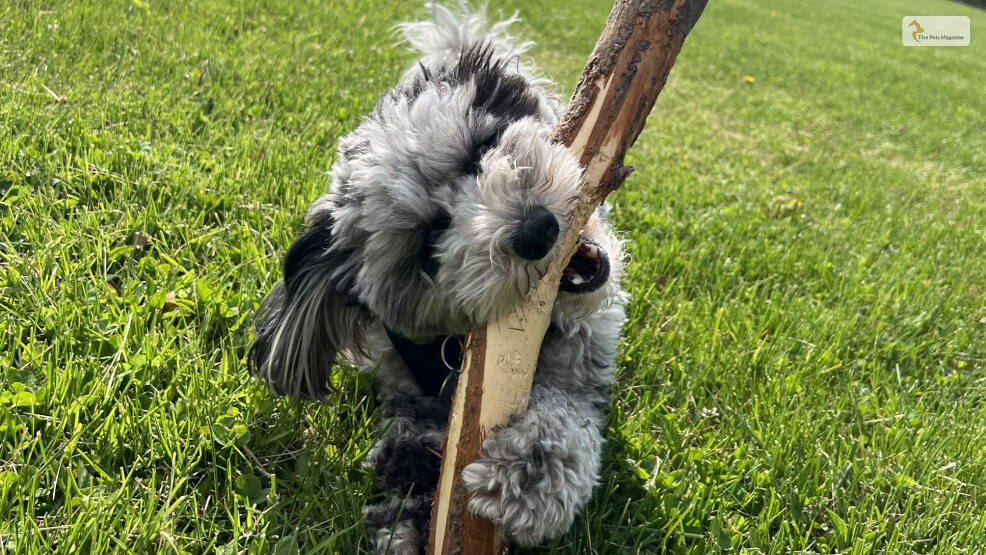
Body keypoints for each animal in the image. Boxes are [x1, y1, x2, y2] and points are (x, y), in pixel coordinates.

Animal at [250, 3, 628, 552]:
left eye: (480, 150)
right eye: (429, 243)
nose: (536, 230)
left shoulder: (583, 374)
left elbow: (565, 414)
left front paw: (528, 474)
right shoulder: (408, 394)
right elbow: (405, 454)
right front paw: (406, 512)